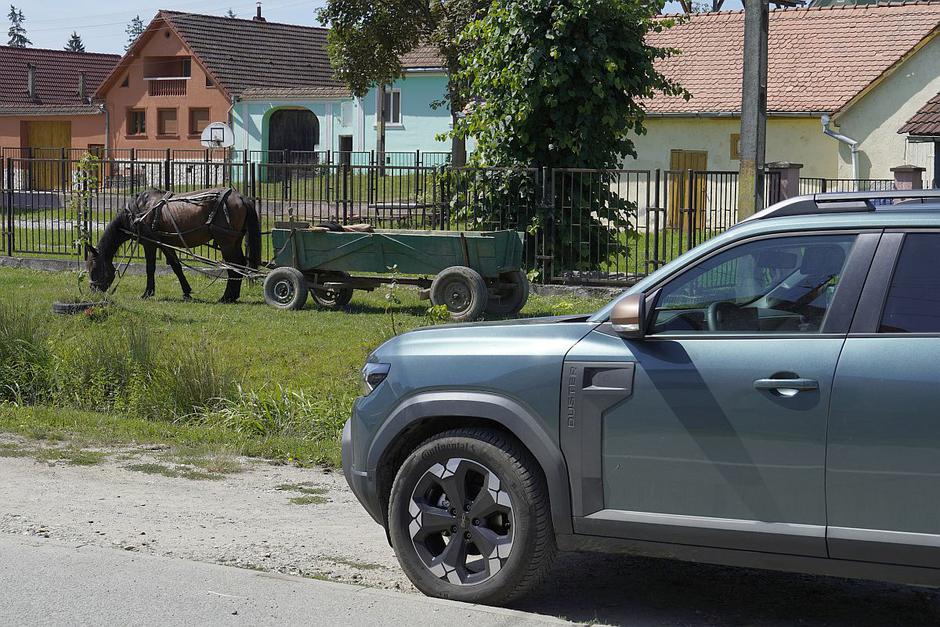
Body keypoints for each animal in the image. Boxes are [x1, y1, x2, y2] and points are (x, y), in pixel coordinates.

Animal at [87, 186, 260, 304]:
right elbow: (176, 266)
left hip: (226, 243)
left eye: (94, 268)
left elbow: (150, 268)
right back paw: (232, 295)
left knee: (233, 266)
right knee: (238, 265)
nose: (93, 291)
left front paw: (147, 293)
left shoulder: (150, 244)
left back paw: (227, 297)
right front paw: (187, 292)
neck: (137, 212)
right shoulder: (165, 244)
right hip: (234, 241)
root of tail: (241, 197)